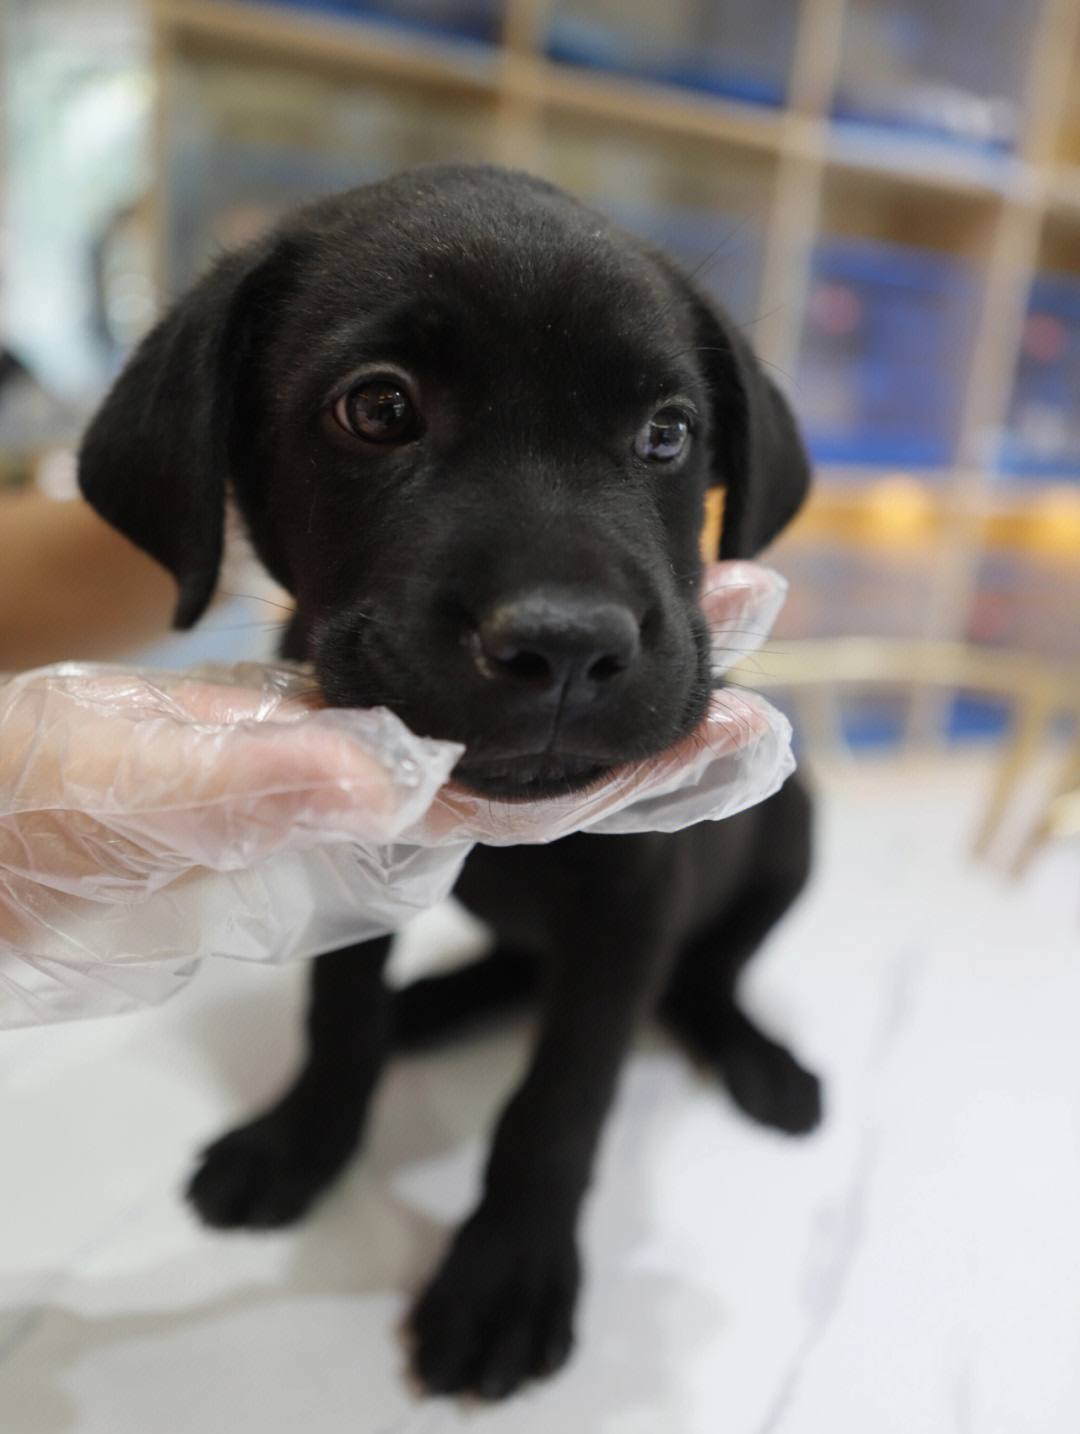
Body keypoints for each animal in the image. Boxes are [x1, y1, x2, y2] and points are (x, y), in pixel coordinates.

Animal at [77, 167, 814, 1399]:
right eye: (378, 409)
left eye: (668, 433)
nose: (566, 646)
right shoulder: (348, 861)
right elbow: (336, 1016)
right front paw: (302, 1142)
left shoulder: (632, 911)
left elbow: (560, 1099)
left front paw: (507, 1275)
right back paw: (429, 1008)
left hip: (793, 838)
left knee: (710, 971)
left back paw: (758, 1057)